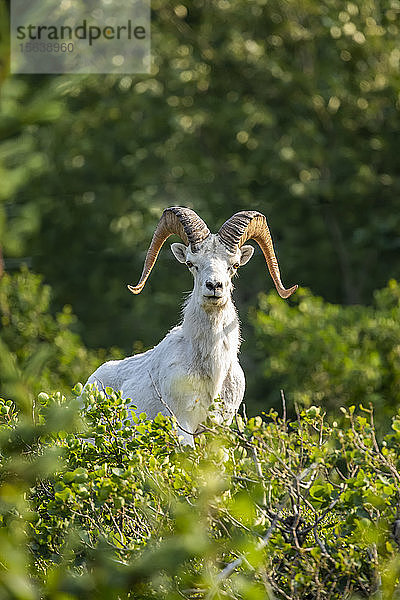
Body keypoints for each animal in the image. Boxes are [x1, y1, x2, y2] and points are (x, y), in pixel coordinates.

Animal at [85, 207, 296, 446]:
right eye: (190, 263)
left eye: (234, 265)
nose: (214, 286)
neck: (213, 371)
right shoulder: (183, 425)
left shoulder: (218, 429)